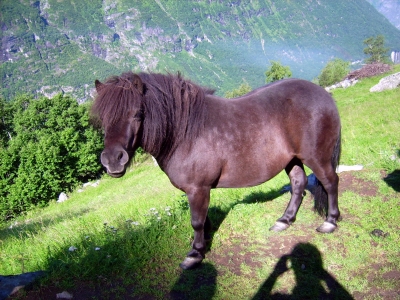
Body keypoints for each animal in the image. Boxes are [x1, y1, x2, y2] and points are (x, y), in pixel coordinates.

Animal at [93, 72, 340, 270]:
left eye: (137, 114)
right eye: (103, 119)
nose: (113, 160)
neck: (186, 132)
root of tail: (323, 94)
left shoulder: (197, 188)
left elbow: (196, 221)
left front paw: (195, 254)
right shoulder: (197, 190)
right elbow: (203, 219)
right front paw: (202, 244)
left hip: (316, 157)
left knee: (330, 182)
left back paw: (330, 222)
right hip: (293, 159)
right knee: (298, 184)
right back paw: (284, 220)